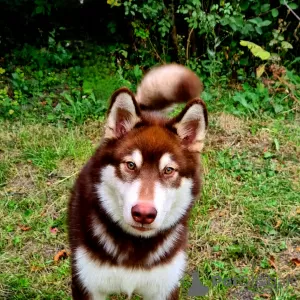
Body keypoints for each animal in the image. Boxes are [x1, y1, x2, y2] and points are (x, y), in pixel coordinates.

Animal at [68, 63, 209, 300]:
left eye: (168, 170)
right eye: (131, 165)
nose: (143, 214)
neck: (135, 246)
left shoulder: (165, 287)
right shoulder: (87, 285)